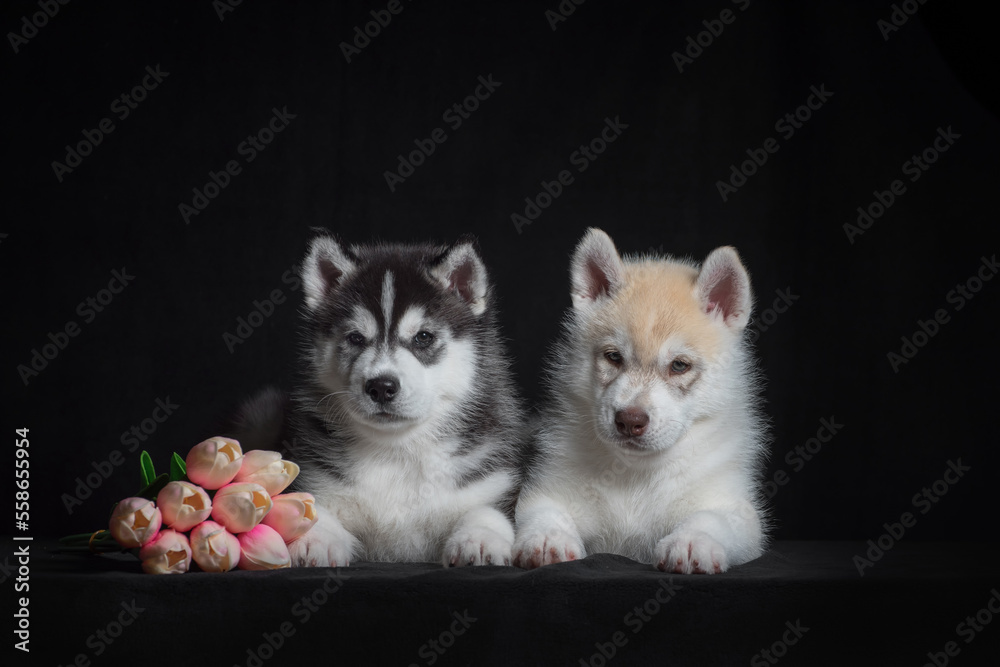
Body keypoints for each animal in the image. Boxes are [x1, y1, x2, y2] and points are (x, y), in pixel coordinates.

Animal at [239, 232, 528, 568]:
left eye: (423, 337)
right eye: (355, 338)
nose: (381, 386)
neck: (397, 450)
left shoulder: (493, 483)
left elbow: (486, 512)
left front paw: (479, 539)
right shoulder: (316, 479)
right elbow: (313, 510)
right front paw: (314, 540)